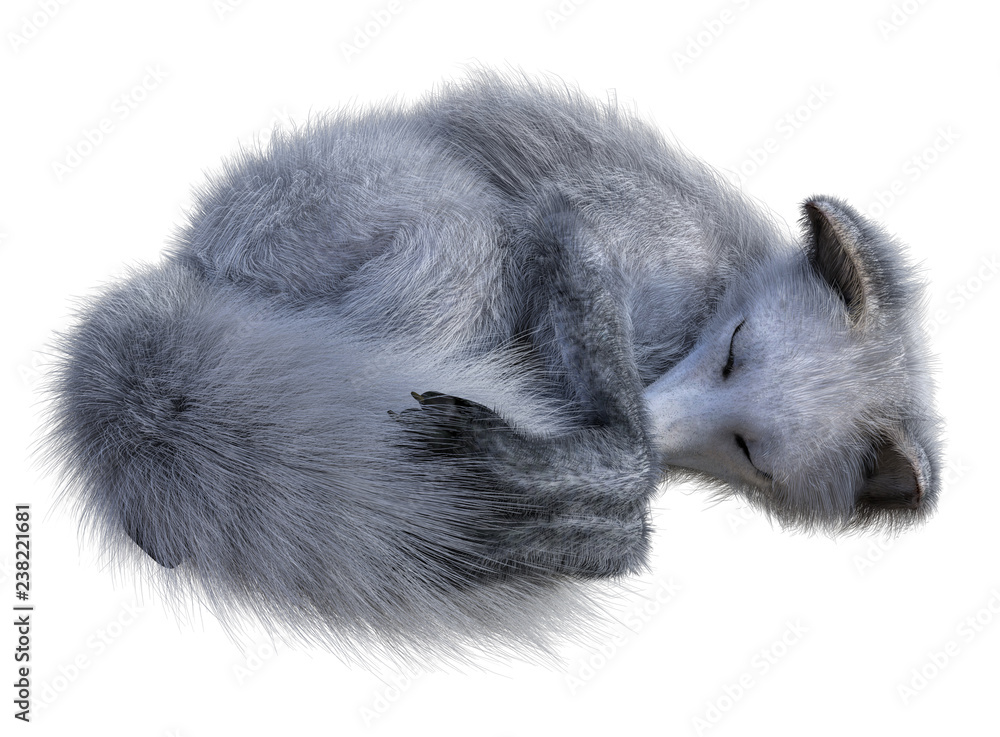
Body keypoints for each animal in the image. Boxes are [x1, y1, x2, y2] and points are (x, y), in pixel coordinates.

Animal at [42, 70, 941, 662]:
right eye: (733, 348)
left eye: (753, 451)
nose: (648, 420)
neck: (708, 289)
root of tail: (187, 267)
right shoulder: (568, 226)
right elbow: (632, 463)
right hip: (465, 245)